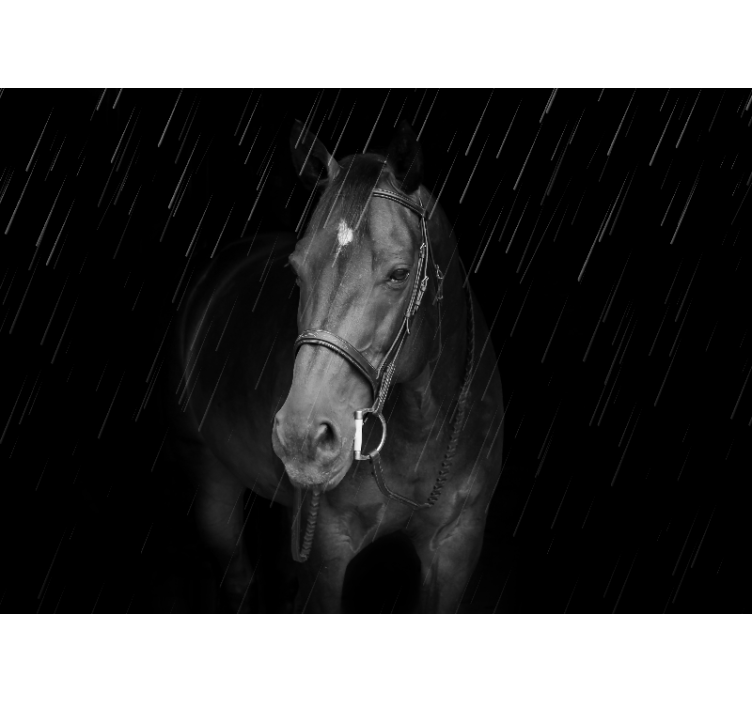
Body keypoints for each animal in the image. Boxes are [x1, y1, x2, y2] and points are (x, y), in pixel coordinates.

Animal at [168, 118, 505, 613]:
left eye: (400, 274)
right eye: (296, 269)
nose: (301, 437)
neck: (420, 427)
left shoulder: (456, 545)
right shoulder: (327, 550)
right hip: (211, 479)